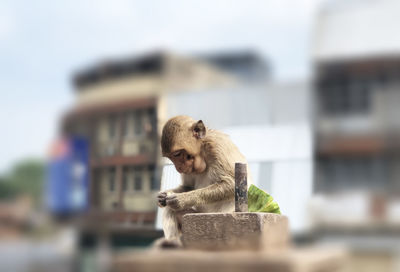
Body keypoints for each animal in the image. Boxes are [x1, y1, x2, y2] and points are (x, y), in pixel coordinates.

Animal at [155, 116, 252, 248]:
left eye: (177, 154)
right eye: (171, 157)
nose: (178, 168)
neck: (202, 150)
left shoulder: (217, 146)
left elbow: (232, 184)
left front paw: (182, 199)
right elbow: (188, 186)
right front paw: (163, 196)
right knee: (170, 210)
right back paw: (172, 243)